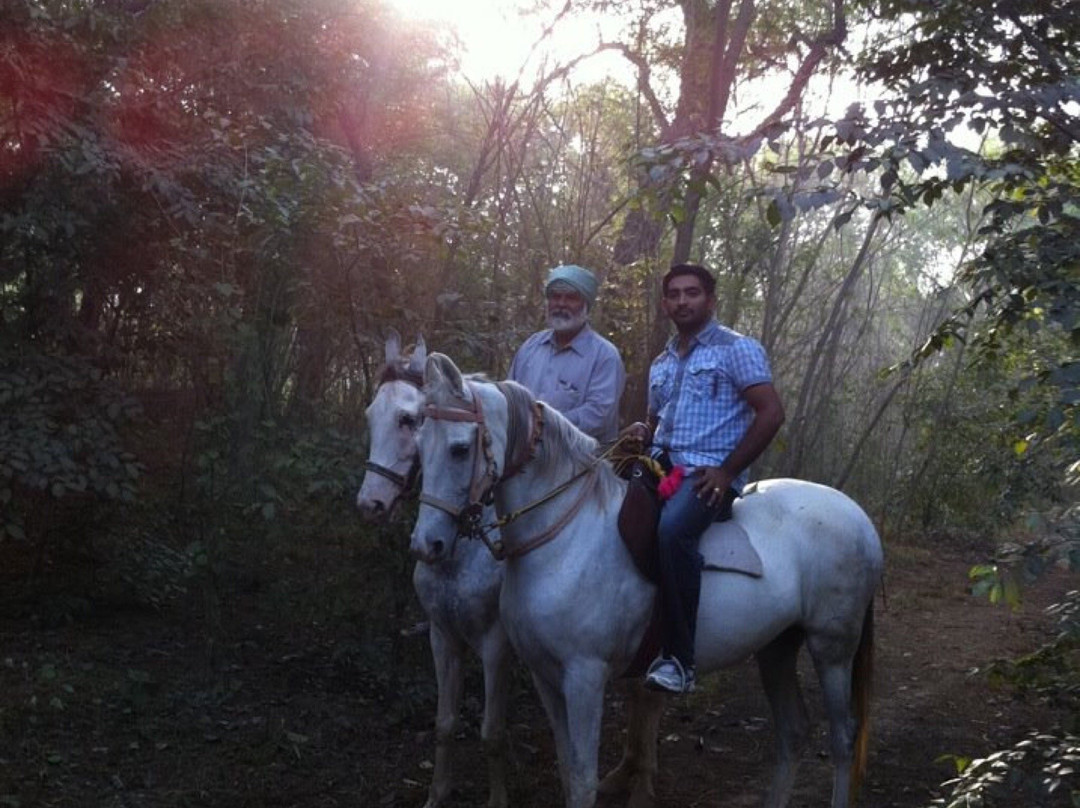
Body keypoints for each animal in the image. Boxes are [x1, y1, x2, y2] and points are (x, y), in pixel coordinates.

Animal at [352, 330, 507, 803]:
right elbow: (444, 724)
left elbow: (492, 732)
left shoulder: (494, 642)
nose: (369, 504)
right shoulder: (442, 634)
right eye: (370, 416)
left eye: (409, 419)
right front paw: (438, 793)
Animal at [408, 354, 881, 808]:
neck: (566, 537)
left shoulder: (584, 677)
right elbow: (567, 770)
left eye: (459, 449)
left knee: (842, 738)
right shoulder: (546, 676)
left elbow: (583, 782)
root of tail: (860, 519)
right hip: (778, 646)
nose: (426, 544)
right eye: (419, 446)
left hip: (832, 648)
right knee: (793, 731)